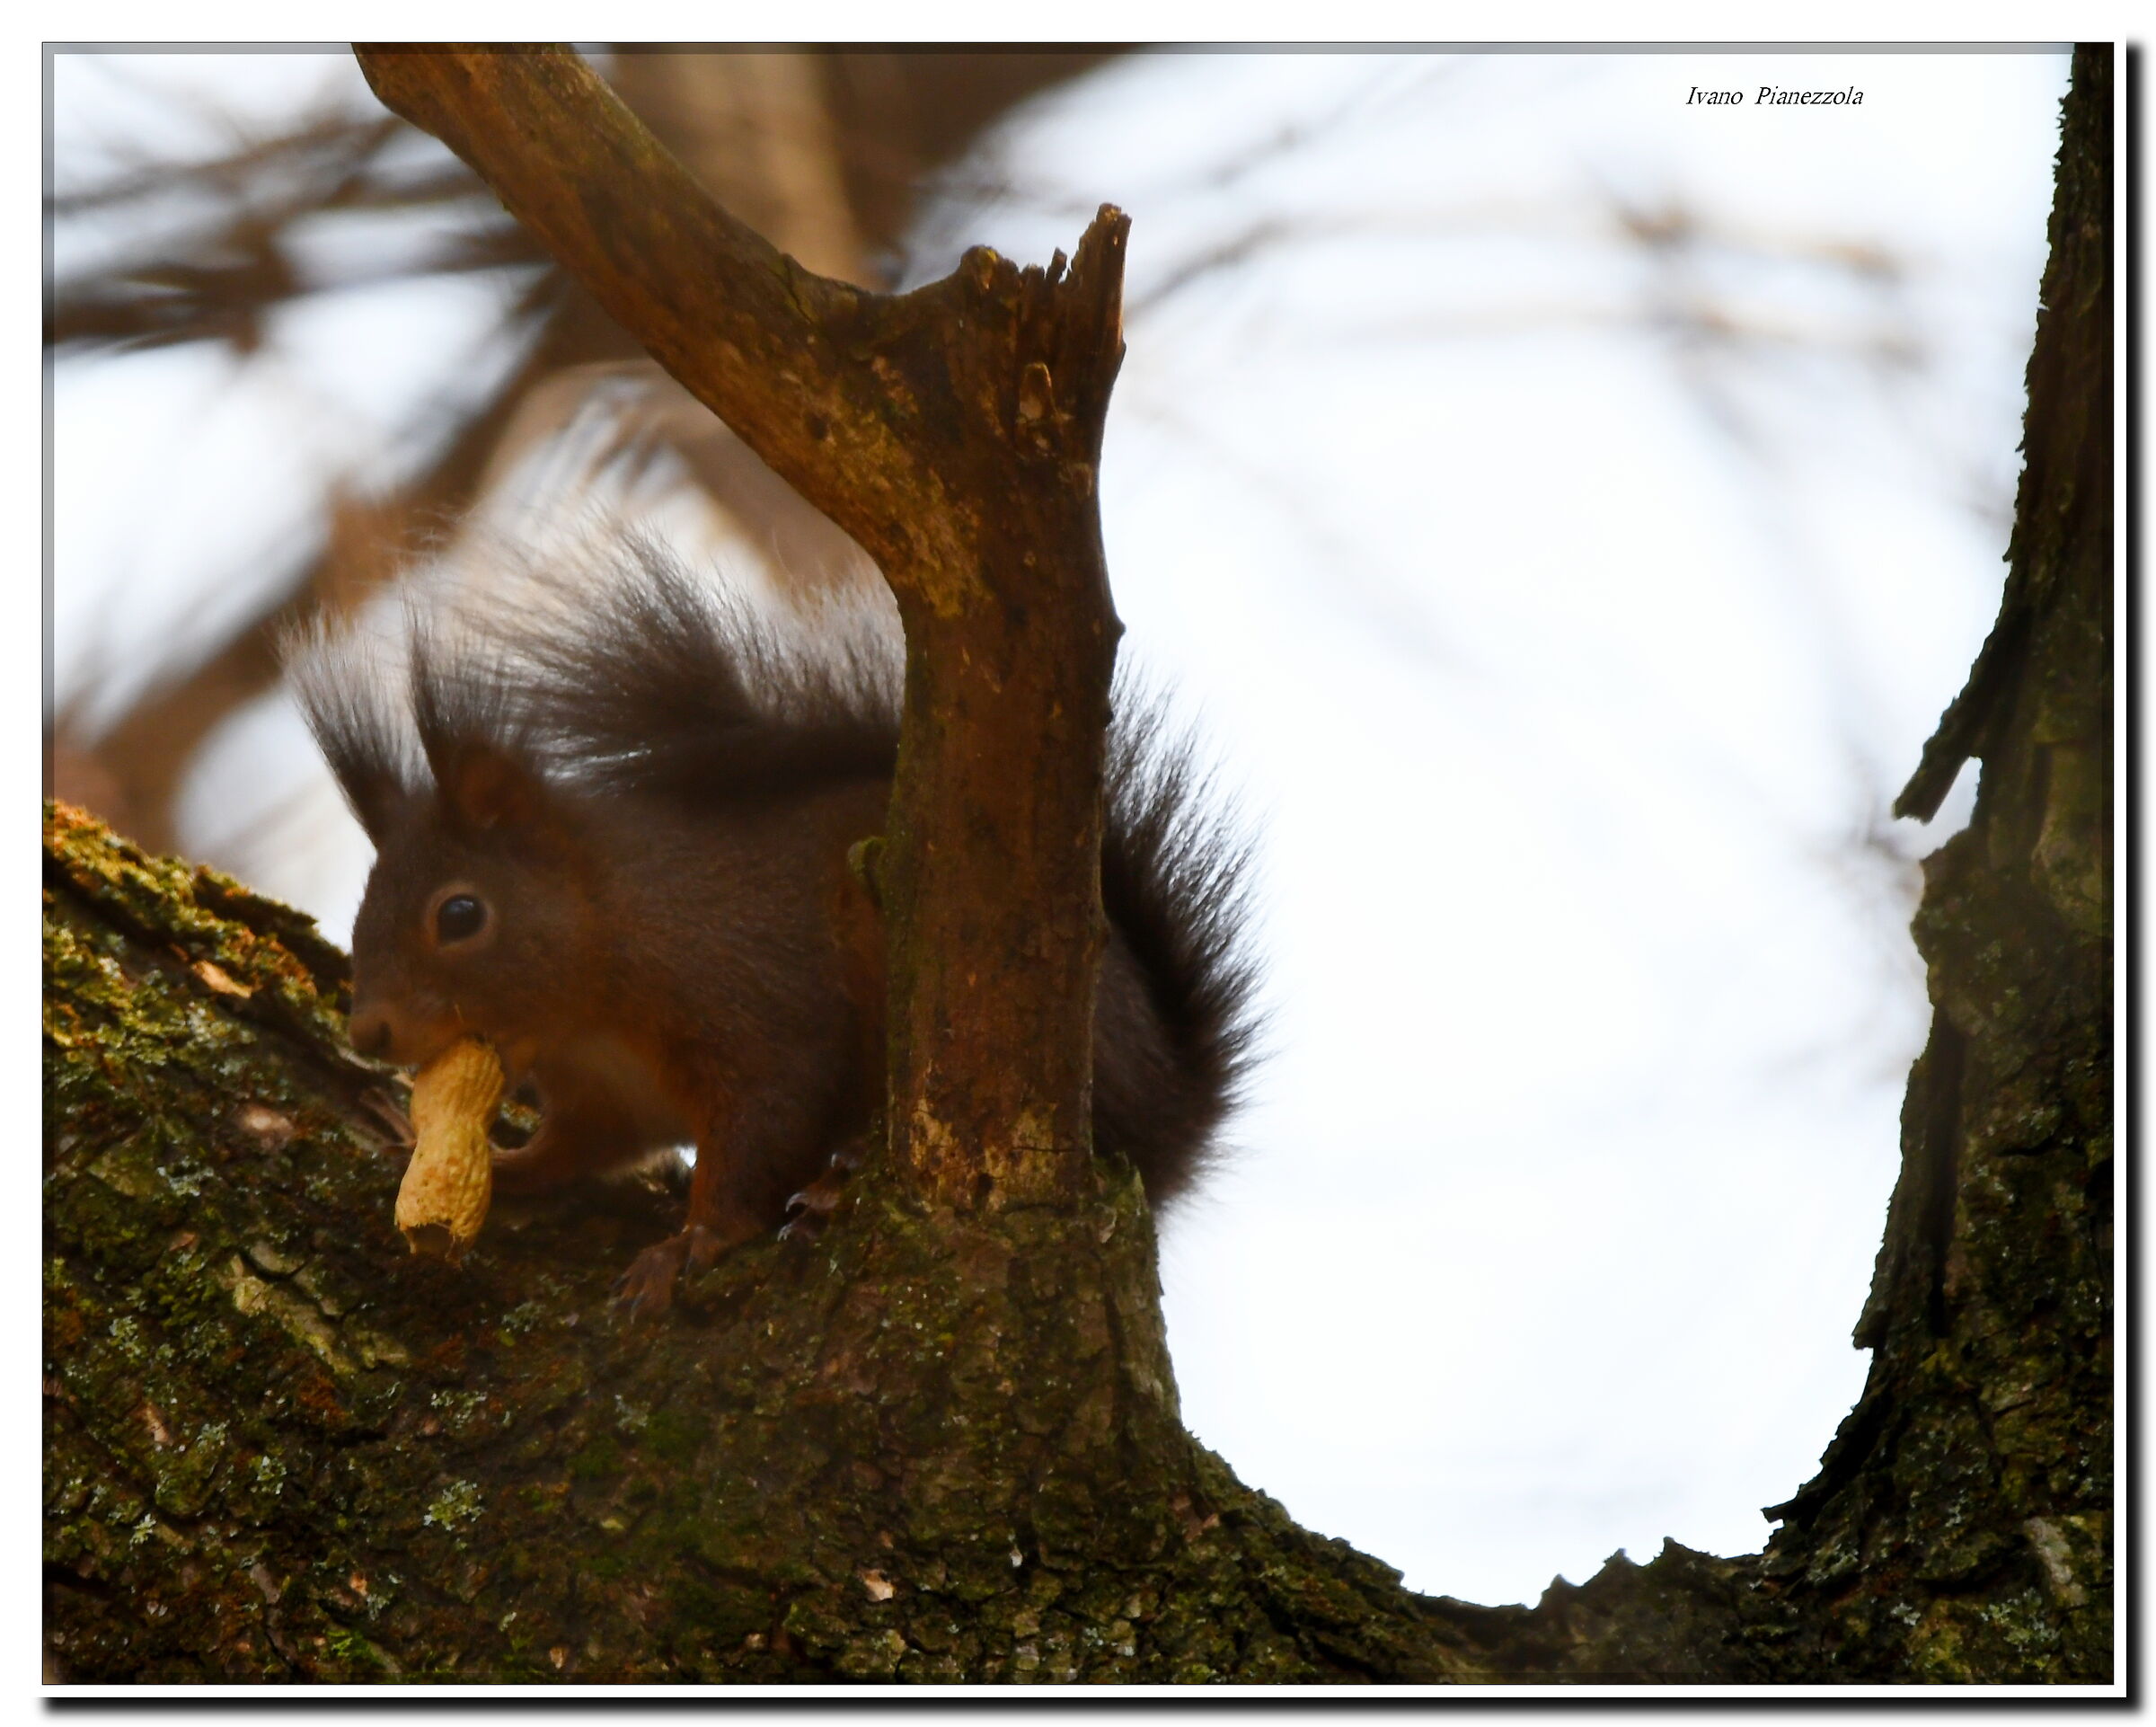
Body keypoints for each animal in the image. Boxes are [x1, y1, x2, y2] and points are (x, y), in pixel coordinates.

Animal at [289, 539, 1260, 1314]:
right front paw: (501, 1163)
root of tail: (1177, 1108)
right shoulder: (607, 1097)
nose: (369, 1031)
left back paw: (844, 1175)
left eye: (460, 913)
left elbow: (763, 1128)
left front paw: (691, 1244)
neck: (602, 962)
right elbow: (583, 1150)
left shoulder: (757, 1001)